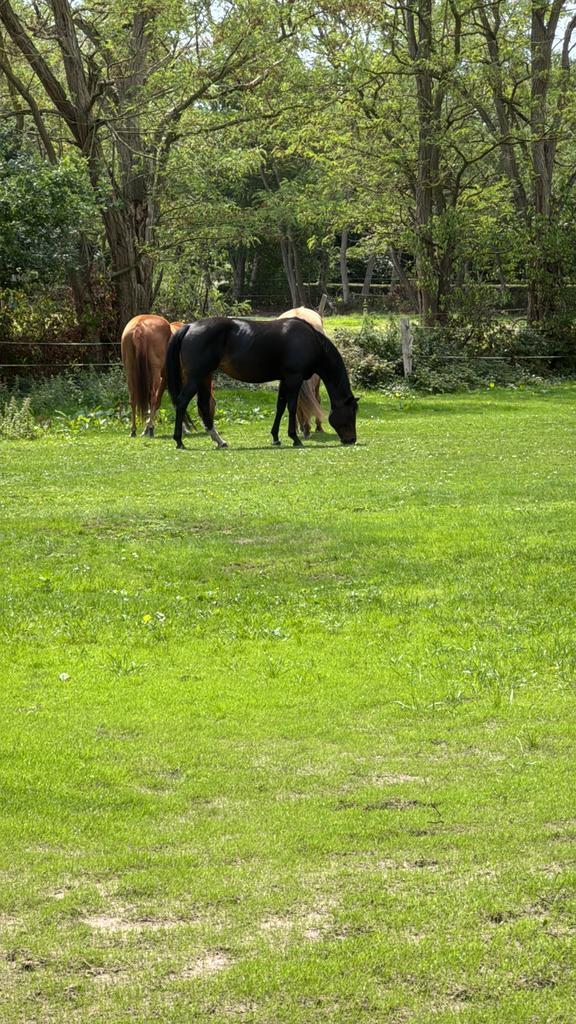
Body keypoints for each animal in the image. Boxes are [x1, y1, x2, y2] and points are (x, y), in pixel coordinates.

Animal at [165, 316, 358, 450]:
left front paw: (276, 438)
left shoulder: (284, 379)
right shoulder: (294, 378)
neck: (309, 340)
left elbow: (280, 407)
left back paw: (220, 441)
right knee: (182, 402)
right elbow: (292, 407)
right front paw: (295, 438)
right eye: (351, 413)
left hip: (205, 377)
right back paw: (179, 440)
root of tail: (189, 327)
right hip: (196, 378)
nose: (352, 439)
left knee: (204, 407)